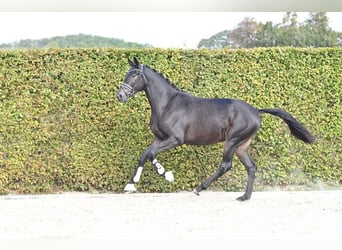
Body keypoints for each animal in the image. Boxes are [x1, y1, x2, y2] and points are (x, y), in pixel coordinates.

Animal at [115, 57, 316, 201]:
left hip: (232, 141)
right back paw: (244, 197)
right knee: (251, 167)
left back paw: (198, 189)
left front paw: (162, 175)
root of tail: (256, 111)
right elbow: (146, 155)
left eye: (135, 75)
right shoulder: (159, 138)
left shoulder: (175, 139)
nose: (120, 95)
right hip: (242, 145)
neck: (167, 104)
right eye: (127, 73)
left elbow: (149, 154)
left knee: (226, 165)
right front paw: (135, 183)